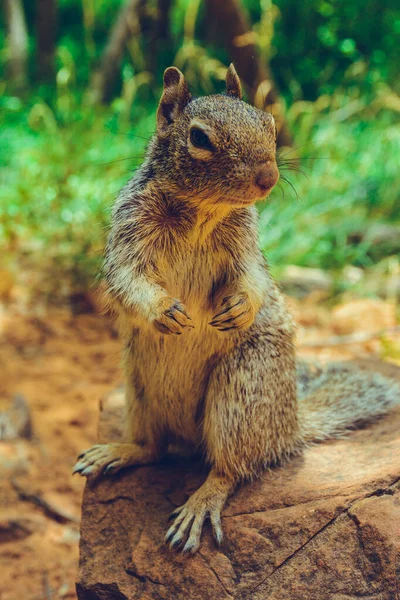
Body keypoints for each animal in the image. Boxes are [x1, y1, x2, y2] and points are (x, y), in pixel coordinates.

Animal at [72, 64, 400, 552]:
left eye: (268, 123)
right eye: (199, 138)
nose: (268, 177)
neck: (202, 213)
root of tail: (288, 427)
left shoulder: (247, 247)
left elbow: (254, 280)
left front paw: (240, 309)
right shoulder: (128, 234)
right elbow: (127, 280)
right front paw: (165, 311)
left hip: (240, 394)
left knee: (230, 469)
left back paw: (200, 504)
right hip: (139, 390)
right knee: (154, 448)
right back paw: (118, 450)